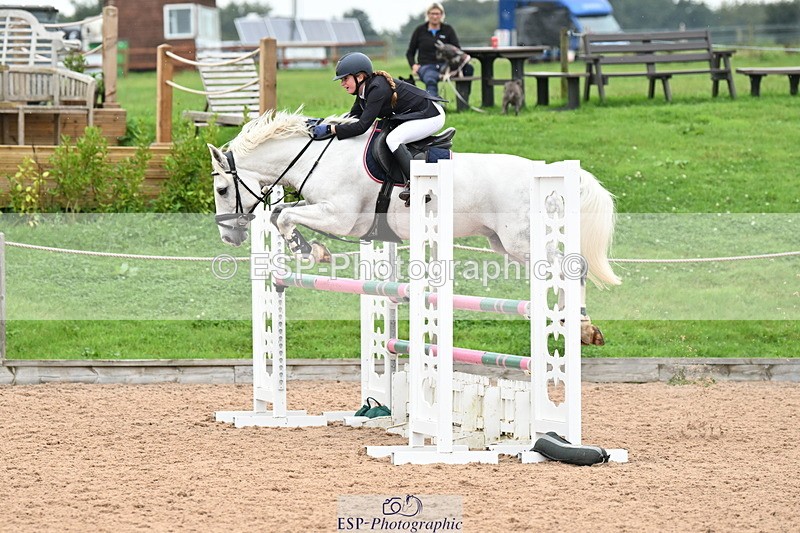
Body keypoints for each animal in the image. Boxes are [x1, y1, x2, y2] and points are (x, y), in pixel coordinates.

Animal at [207, 109, 621, 344]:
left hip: (522, 240)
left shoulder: (339, 215)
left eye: (222, 189)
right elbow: (280, 213)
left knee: (571, 268)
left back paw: (580, 325)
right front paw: (309, 248)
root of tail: (546, 172)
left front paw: (311, 251)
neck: (317, 156)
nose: (228, 235)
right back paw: (571, 323)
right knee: (563, 270)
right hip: (504, 244)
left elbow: (285, 216)